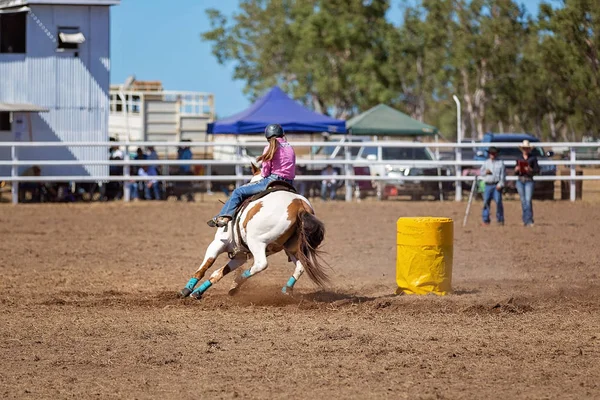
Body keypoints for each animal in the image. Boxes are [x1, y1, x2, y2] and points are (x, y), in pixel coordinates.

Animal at [179, 164, 328, 298]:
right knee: (301, 267)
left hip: (257, 242)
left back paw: (237, 282)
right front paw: (198, 292)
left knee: (261, 264)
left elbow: (205, 266)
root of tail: (299, 206)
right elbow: (218, 273)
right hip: (293, 248)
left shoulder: (218, 243)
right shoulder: (240, 256)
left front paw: (187, 290)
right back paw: (286, 290)